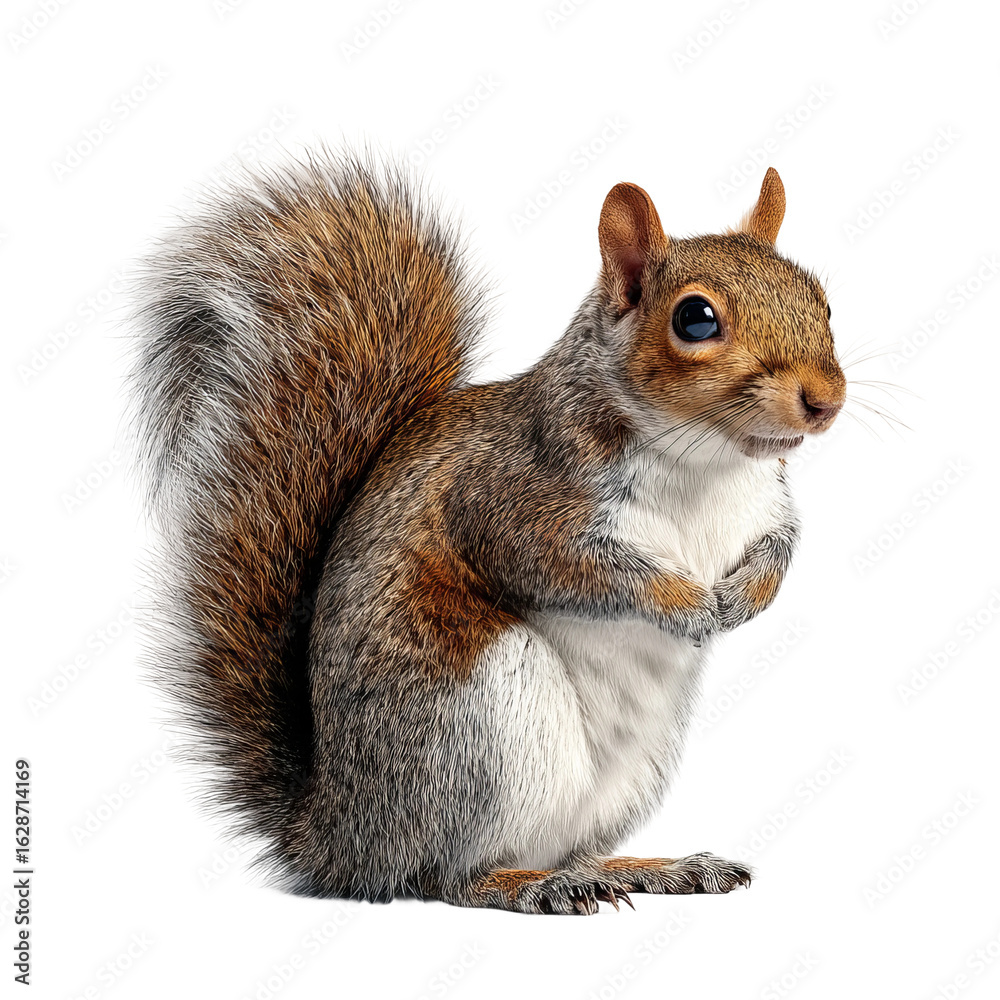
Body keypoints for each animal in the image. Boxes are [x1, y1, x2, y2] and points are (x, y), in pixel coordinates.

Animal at [129, 149, 845, 915]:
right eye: (696, 319)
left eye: (821, 298)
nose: (826, 401)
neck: (708, 461)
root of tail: (338, 841)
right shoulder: (514, 500)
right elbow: (574, 569)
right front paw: (686, 605)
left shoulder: (766, 509)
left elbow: (779, 551)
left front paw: (744, 597)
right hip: (480, 725)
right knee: (440, 876)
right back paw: (532, 886)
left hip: (628, 769)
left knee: (565, 847)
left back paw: (643, 868)